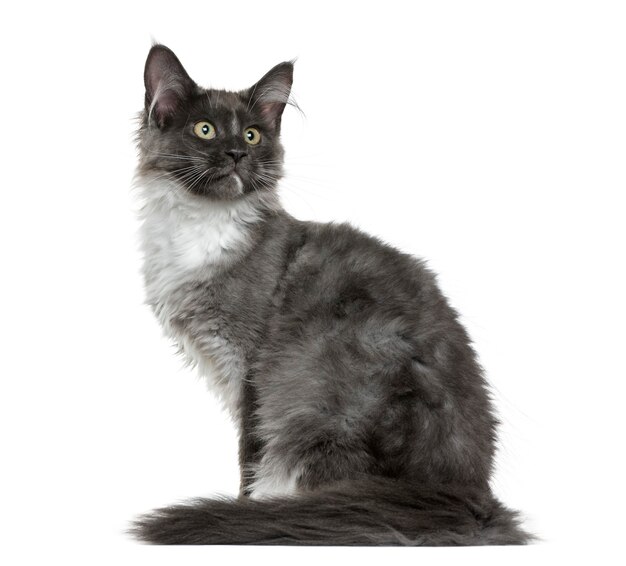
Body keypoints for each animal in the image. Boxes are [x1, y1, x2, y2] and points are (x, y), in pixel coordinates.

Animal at [133, 44, 532, 544]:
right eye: (204, 129)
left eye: (252, 135)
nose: (237, 154)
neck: (203, 225)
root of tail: (463, 494)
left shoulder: (250, 370)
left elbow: (249, 453)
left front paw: (243, 507)